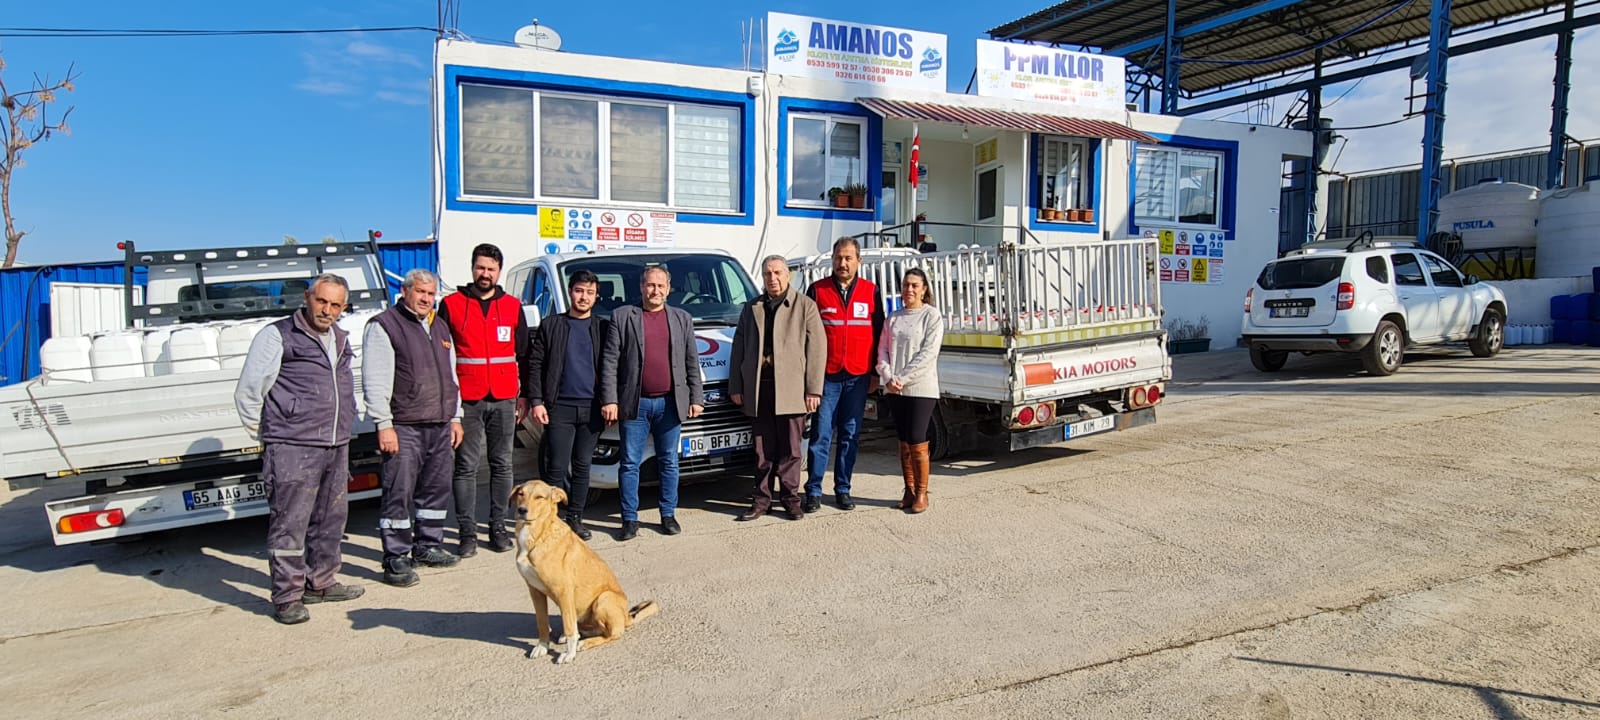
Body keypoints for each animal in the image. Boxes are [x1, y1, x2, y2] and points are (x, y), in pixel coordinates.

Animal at [512, 480, 662, 662]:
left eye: (539, 497)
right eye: (521, 494)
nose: (522, 510)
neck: (537, 536)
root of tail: (626, 618)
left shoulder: (563, 591)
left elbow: (570, 628)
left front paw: (569, 654)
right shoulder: (535, 590)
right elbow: (542, 623)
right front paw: (542, 646)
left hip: (603, 599)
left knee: (612, 634)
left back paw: (584, 643)